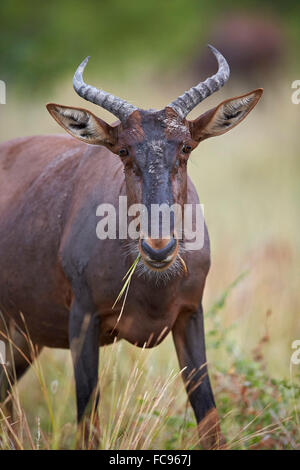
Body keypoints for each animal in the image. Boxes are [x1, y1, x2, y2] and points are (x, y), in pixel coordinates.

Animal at [0, 46, 262, 448]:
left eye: (186, 146)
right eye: (122, 150)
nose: (158, 250)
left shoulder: (190, 316)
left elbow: (209, 421)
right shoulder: (83, 322)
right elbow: (88, 421)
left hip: (23, 338)